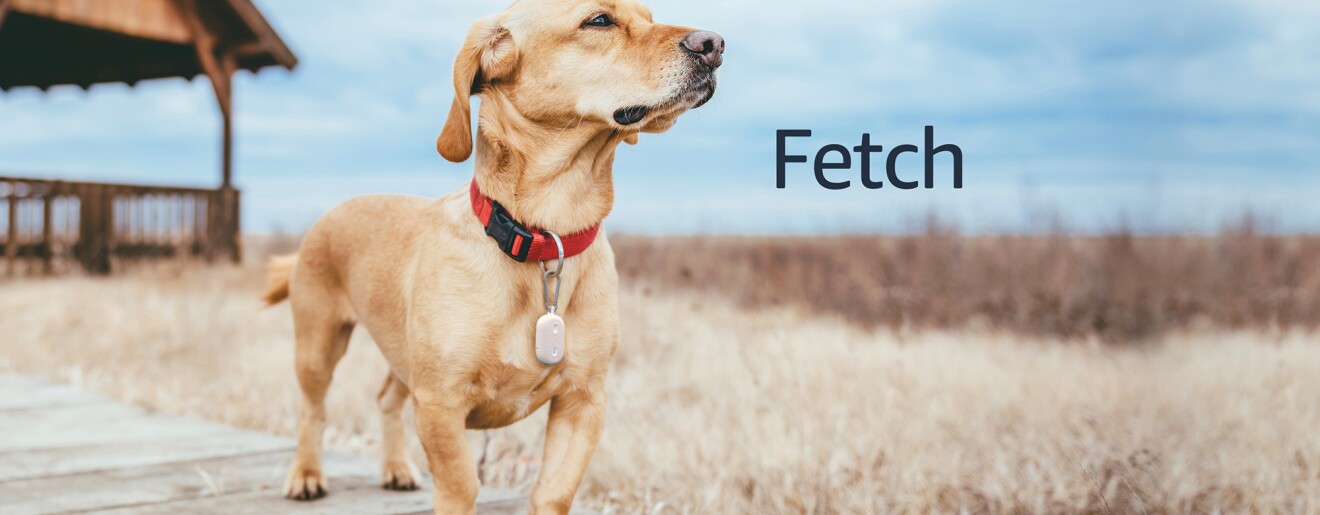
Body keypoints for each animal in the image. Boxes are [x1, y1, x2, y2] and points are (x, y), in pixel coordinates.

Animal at [262, 0, 728, 512]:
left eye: (651, 16)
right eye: (599, 20)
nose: (714, 44)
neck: (545, 235)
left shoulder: (583, 400)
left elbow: (553, 493)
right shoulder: (440, 402)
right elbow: (463, 485)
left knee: (386, 398)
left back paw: (396, 468)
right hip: (319, 346)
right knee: (313, 410)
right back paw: (306, 475)